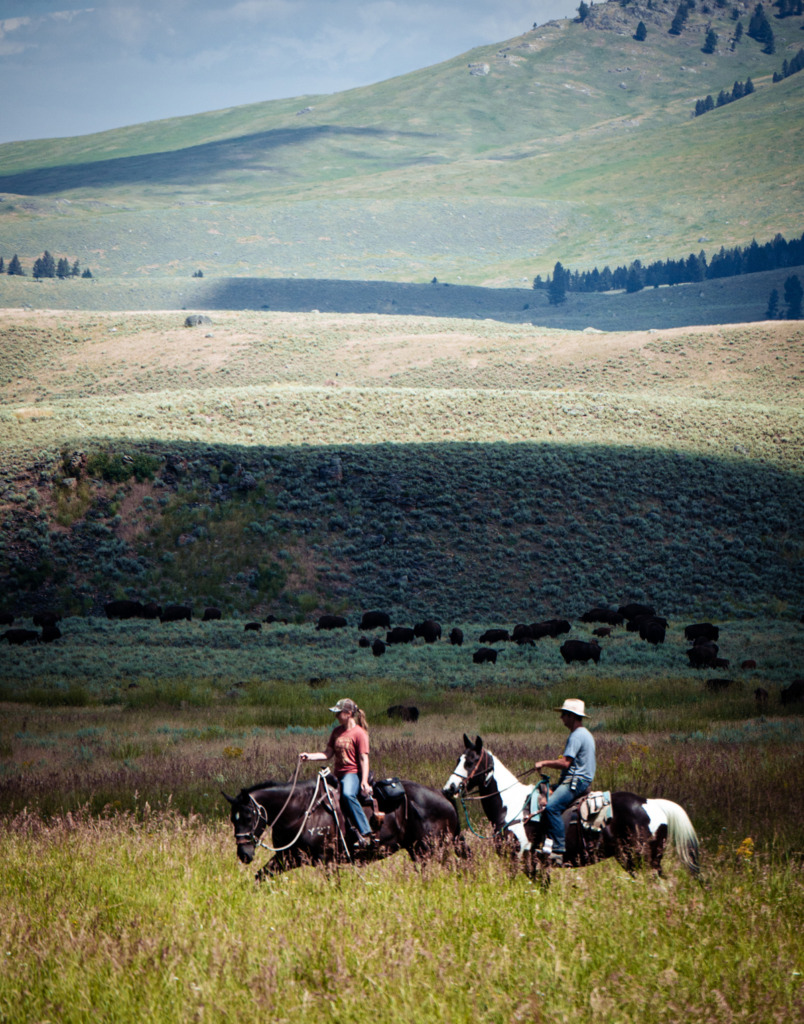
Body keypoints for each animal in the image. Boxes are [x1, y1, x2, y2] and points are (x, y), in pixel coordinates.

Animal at [225, 770, 464, 876]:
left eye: (248, 817)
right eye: (232, 819)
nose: (243, 854)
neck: (300, 810)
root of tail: (443, 795)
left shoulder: (327, 861)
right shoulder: (288, 857)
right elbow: (261, 876)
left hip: (430, 851)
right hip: (419, 852)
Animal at [438, 741, 696, 876]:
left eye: (471, 761)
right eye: (458, 759)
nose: (448, 788)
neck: (513, 808)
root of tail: (651, 803)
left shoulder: (519, 860)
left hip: (645, 860)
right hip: (632, 860)